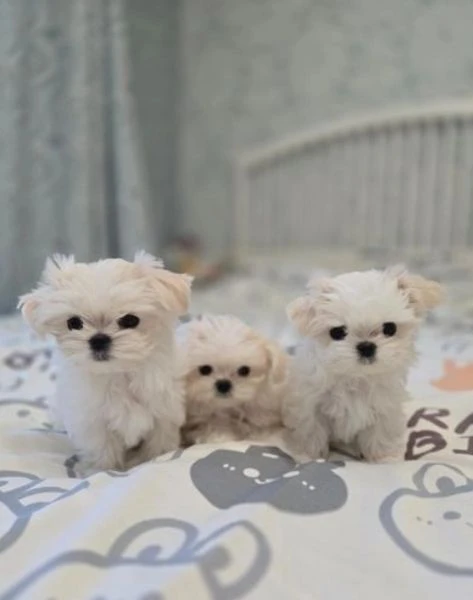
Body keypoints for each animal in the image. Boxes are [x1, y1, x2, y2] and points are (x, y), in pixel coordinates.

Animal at [18, 251, 192, 472]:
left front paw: (150, 459)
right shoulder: (92, 421)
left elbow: (158, 443)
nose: (99, 339)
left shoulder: (165, 411)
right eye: (73, 323)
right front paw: (100, 470)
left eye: (130, 320)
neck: (118, 374)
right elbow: (102, 449)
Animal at [284, 268, 442, 464]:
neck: (357, 377)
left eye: (390, 328)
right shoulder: (310, 406)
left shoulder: (385, 406)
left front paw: (384, 458)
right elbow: (312, 432)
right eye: (337, 332)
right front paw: (310, 457)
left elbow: (381, 433)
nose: (366, 346)